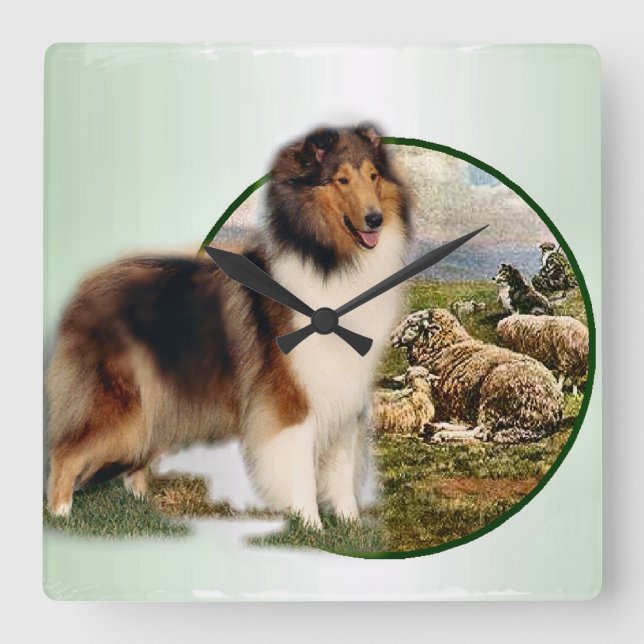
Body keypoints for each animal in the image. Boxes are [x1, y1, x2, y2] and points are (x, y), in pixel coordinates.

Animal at [390, 309, 563, 443]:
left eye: (412, 323)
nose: (391, 338)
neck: (443, 347)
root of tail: (552, 410)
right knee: (474, 426)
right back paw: (435, 427)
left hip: (493, 397)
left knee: (481, 430)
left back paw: (441, 434)